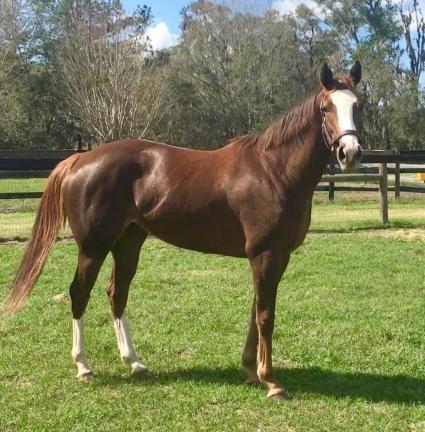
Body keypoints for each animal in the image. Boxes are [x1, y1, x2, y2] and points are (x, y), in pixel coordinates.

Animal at [3, 62, 362, 400]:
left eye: (358, 105)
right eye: (326, 108)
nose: (350, 153)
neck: (274, 171)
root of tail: (80, 159)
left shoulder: (275, 256)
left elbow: (255, 310)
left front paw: (250, 370)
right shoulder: (266, 254)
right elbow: (265, 315)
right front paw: (271, 381)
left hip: (128, 243)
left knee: (117, 293)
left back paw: (134, 362)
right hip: (93, 246)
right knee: (80, 293)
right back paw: (83, 366)